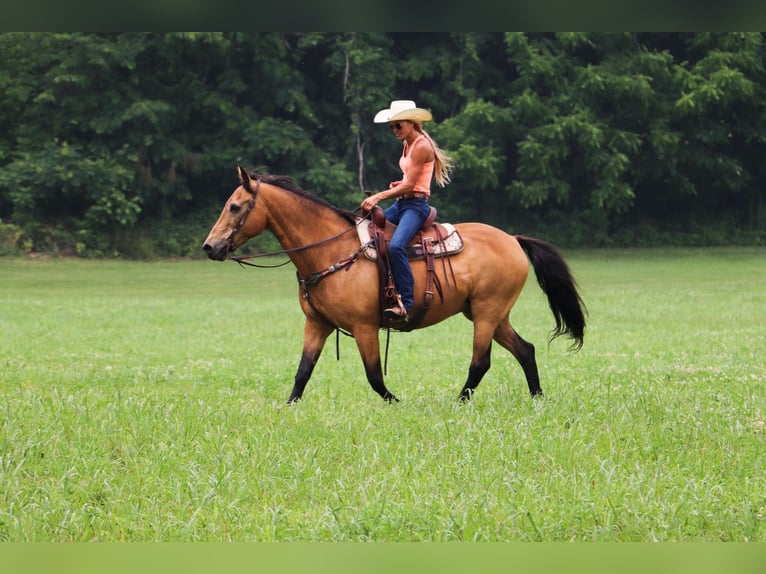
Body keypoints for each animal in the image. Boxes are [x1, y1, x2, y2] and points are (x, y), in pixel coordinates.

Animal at [204, 164, 588, 404]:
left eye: (235, 207)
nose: (210, 247)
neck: (330, 250)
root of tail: (512, 239)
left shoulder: (364, 327)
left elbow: (374, 377)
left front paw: (398, 402)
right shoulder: (317, 324)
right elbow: (302, 373)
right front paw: (288, 407)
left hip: (486, 313)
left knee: (481, 362)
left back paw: (459, 403)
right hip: (491, 315)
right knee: (526, 350)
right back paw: (537, 398)